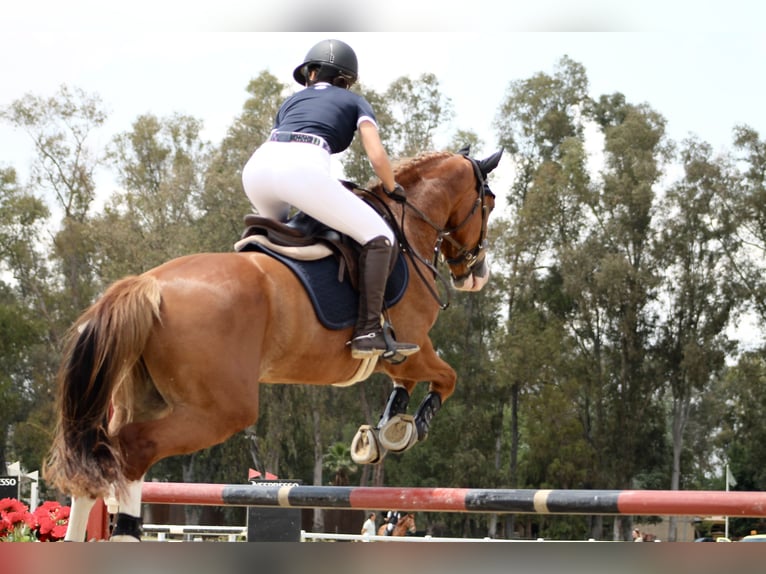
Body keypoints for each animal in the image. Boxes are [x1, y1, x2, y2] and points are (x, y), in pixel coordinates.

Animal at [46, 146, 504, 544]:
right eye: (490, 203)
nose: (475, 274)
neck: (407, 231)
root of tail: (148, 284)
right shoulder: (412, 346)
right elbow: (447, 378)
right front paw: (410, 428)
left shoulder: (399, 358)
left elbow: (404, 387)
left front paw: (387, 429)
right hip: (221, 409)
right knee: (129, 451)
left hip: (144, 397)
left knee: (102, 461)